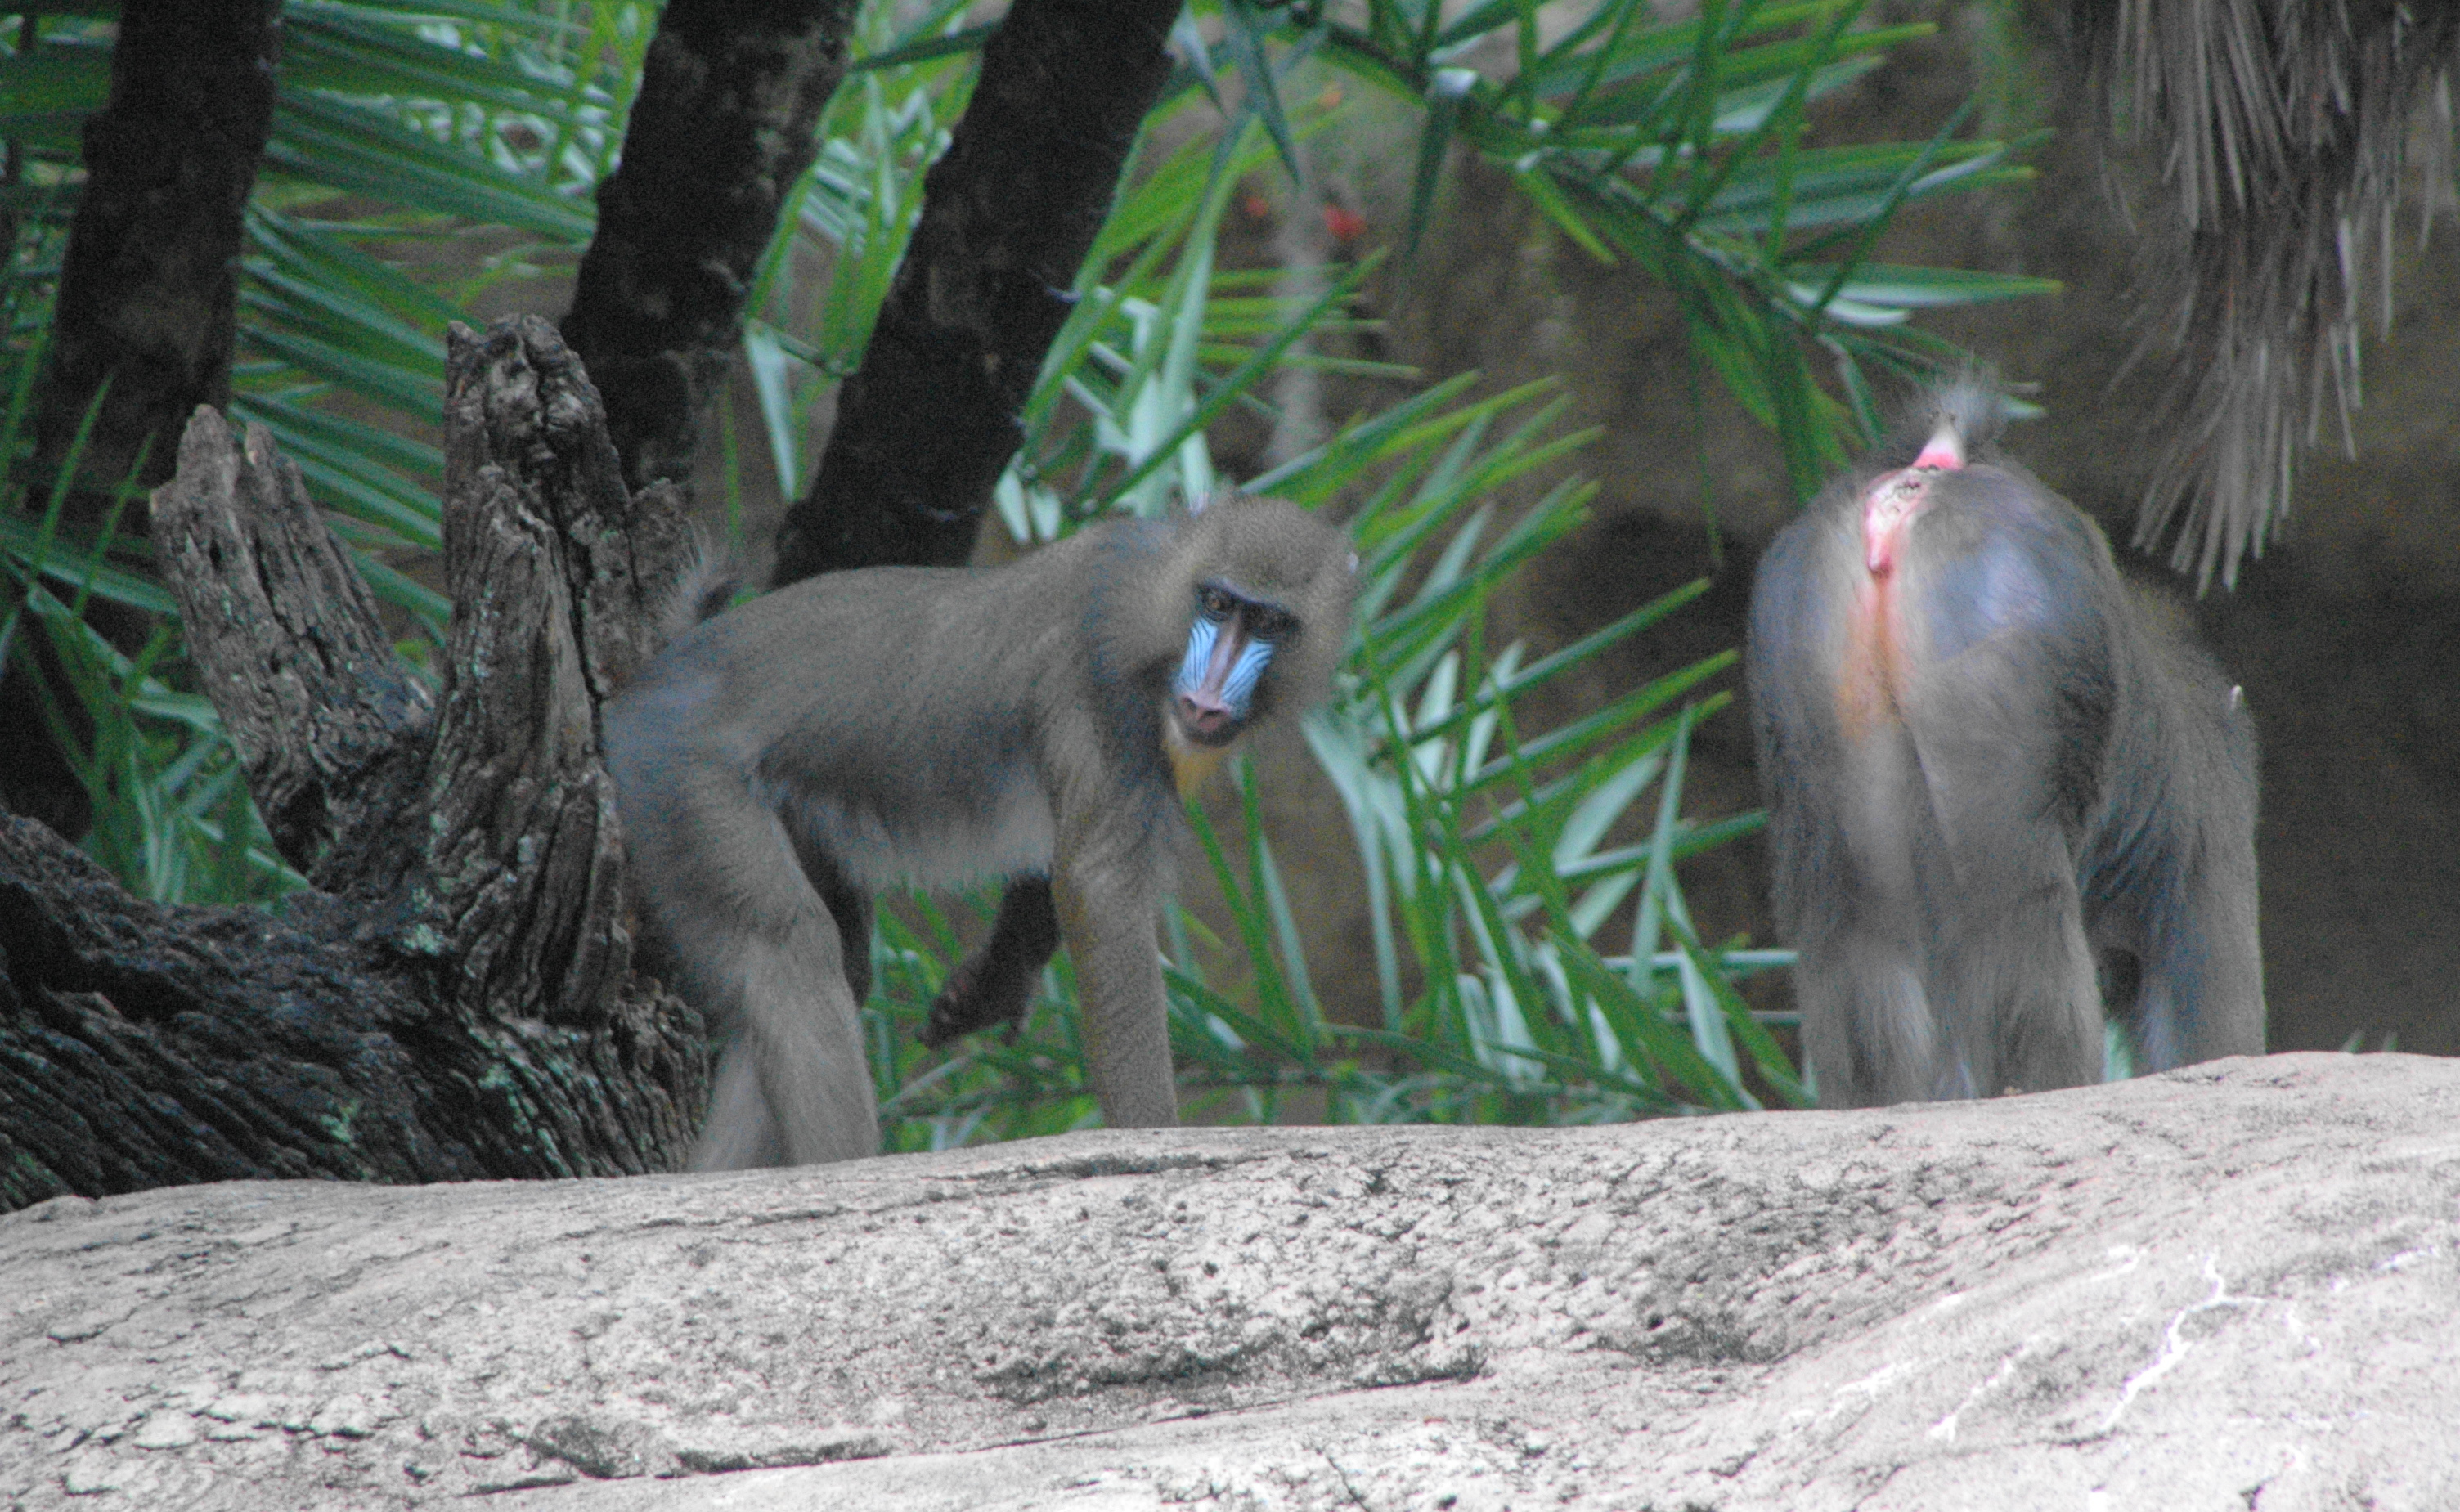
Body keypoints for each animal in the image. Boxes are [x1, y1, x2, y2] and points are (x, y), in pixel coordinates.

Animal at [602, 490, 1356, 1168]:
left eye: (1272, 622)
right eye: (1219, 605)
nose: (1208, 698)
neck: (1160, 592)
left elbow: (1056, 865)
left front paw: (990, 987)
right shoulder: (1101, 684)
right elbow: (1100, 886)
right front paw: (1157, 1142)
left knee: (830, 969)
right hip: (684, 784)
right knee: (787, 950)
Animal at [1742, 383, 2265, 1109]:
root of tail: (1916, 487)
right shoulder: (2211, 841)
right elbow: (2209, 1007)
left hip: (1817, 713)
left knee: (1857, 940)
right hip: (1991, 725)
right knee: (2013, 926)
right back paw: (2036, 1086)